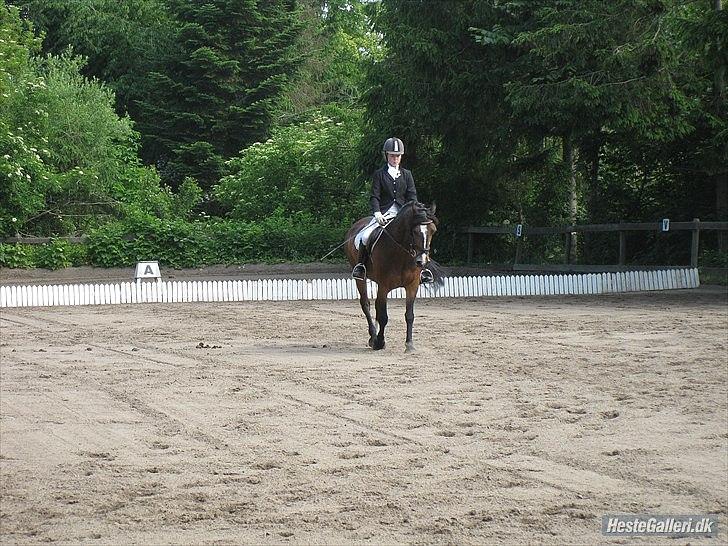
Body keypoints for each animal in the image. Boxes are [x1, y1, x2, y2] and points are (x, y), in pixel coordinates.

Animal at [344, 202, 440, 350]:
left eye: (433, 230)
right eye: (414, 231)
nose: (422, 261)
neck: (401, 253)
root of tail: (357, 224)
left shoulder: (412, 286)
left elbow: (409, 315)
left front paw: (409, 344)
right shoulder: (384, 286)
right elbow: (383, 316)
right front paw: (379, 342)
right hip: (360, 278)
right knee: (366, 304)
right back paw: (373, 337)